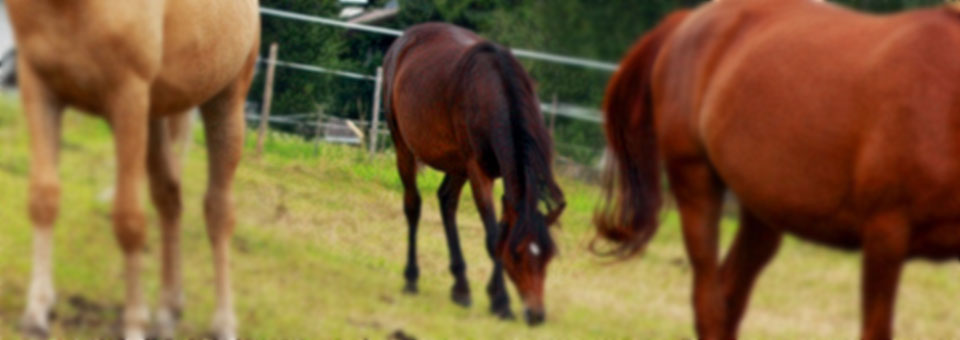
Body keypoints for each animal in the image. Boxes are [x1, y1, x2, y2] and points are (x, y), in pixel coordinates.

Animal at [8, 1, 262, 338]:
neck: (69, 9)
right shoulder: (39, 88)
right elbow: (43, 199)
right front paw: (36, 312)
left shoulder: (128, 97)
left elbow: (129, 220)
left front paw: (134, 323)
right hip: (155, 115)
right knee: (169, 198)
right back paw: (167, 312)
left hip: (225, 102)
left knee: (218, 212)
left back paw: (223, 323)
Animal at [380, 22, 564, 326]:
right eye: (517, 255)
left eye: (549, 255)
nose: (536, 315)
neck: (494, 92)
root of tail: (404, 40)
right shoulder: (479, 171)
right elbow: (493, 238)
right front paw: (502, 303)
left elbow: (501, 229)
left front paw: (492, 295)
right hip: (403, 146)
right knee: (413, 206)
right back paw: (411, 278)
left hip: (457, 164)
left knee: (446, 202)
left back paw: (461, 287)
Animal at [596, 0, 960, 340]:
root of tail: (688, 20)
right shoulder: (885, 237)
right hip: (696, 183)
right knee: (709, 304)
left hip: (763, 211)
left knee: (729, 298)